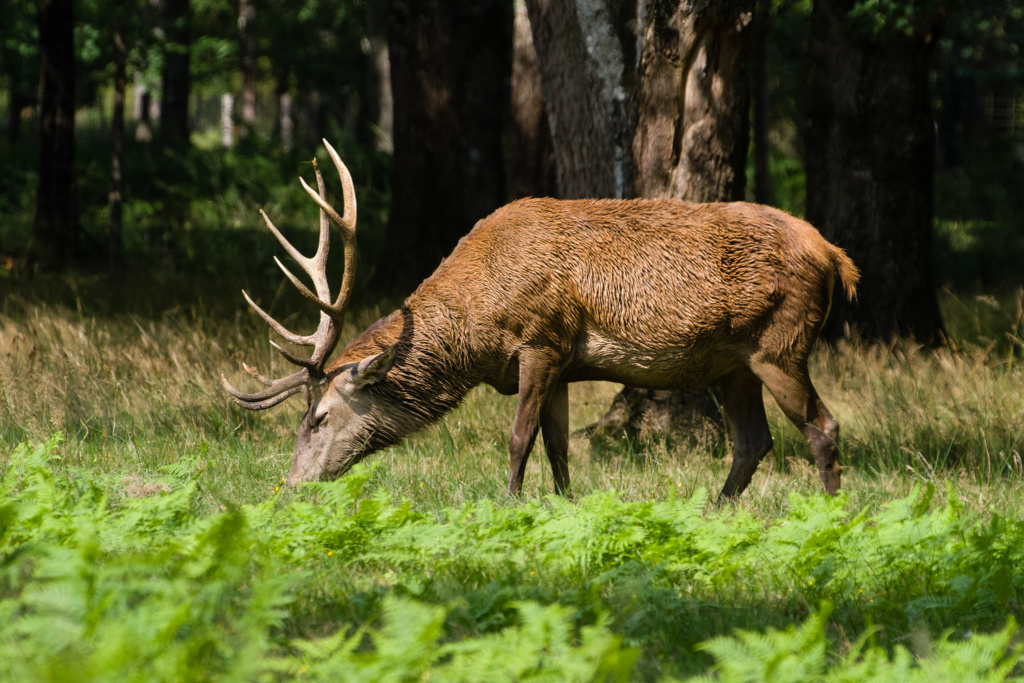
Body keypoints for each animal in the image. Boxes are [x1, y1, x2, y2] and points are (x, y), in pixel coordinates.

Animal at [222, 141, 856, 499]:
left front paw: (509, 505)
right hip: (734, 362)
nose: (289, 487)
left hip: (780, 344)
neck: (476, 335)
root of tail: (834, 256)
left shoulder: (541, 340)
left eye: (319, 417)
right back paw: (714, 513)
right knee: (754, 442)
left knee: (822, 428)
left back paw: (833, 516)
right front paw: (565, 508)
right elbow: (557, 447)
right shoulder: (565, 365)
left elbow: (518, 437)